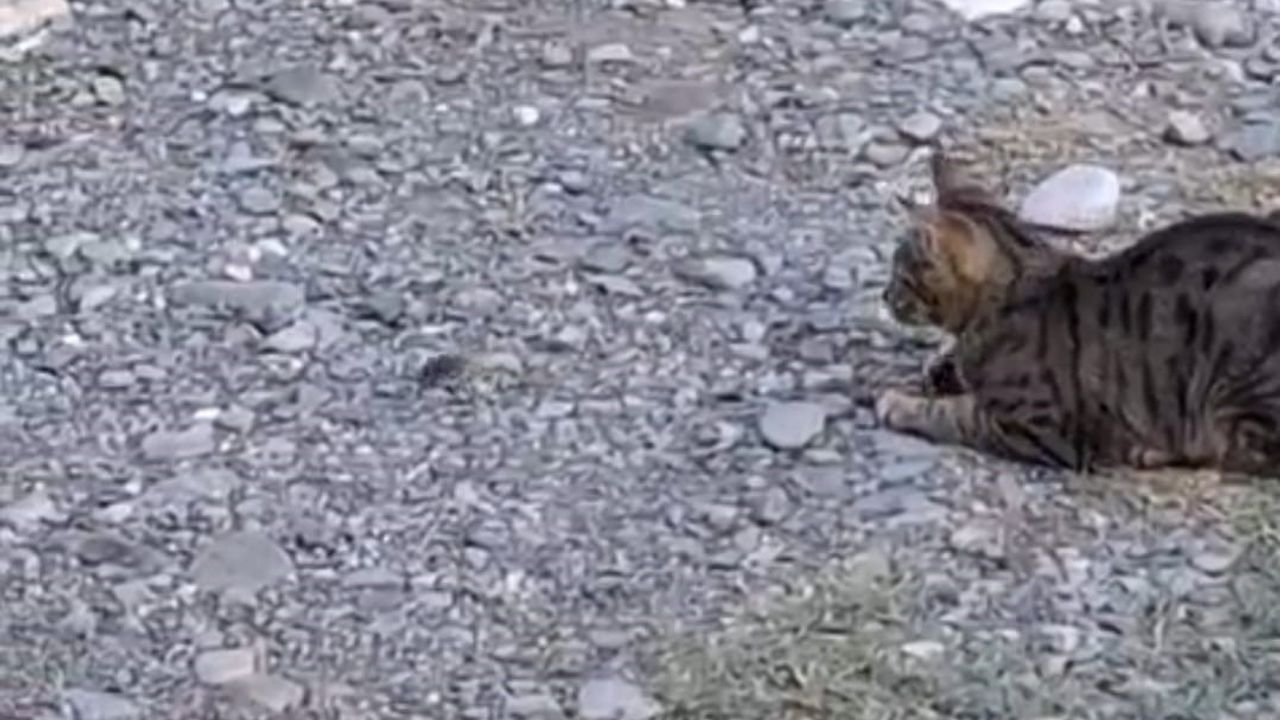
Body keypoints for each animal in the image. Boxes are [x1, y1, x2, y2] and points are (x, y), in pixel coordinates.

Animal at [877, 150, 1280, 477]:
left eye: (900, 273)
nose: (884, 295)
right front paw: (942, 369)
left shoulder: (1040, 429)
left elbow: (956, 416)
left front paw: (898, 404)